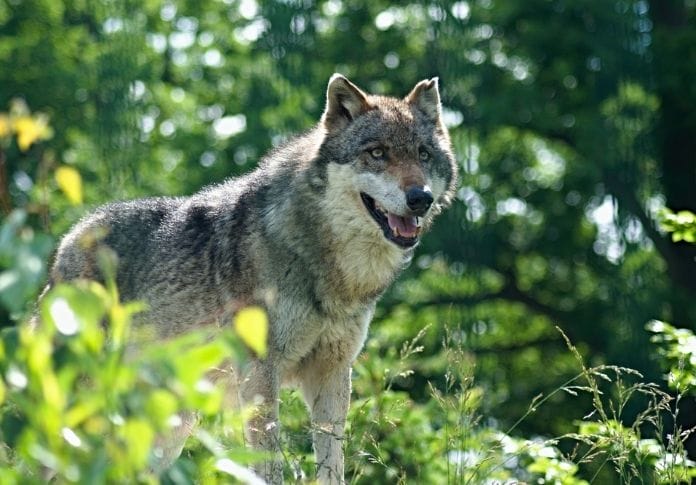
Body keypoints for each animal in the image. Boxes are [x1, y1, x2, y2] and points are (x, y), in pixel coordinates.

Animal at [47, 74, 457, 483]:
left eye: (423, 154)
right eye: (377, 153)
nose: (419, 197)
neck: (324, 264)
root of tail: (69, 238)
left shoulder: (332, 373)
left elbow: (331, 465)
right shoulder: (260, 372)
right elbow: (269, 464)